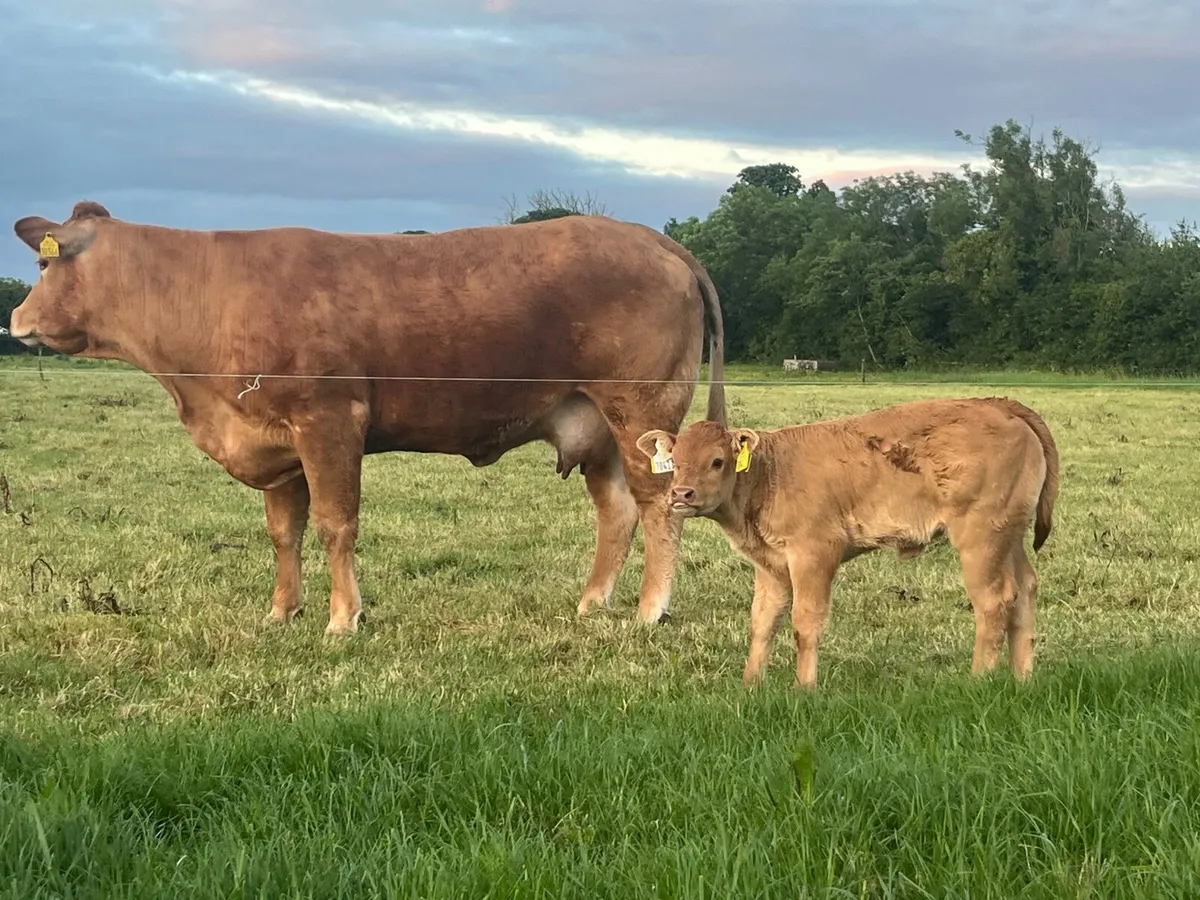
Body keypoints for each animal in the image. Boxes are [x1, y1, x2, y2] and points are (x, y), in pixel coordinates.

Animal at [10, 201, 726, 635]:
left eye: (44, 262)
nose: (15, 320)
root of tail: (651, 238)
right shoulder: (277, 445)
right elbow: (284, 533)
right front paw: (281, 613)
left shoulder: (329, 421)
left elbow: (334, 525)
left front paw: (341, 620)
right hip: (595, 425)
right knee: (619, 510)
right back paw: (592, 602)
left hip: (641, 412)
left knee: (660, 507)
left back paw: (649, 611)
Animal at [636, 397, 1059, 689]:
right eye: (674, 460)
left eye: (718, 461)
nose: (681, 494)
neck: (768, 473)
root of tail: (998, 403)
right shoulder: (771, 566)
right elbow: (763, 622)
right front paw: (750, 686)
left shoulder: (814, 554)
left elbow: (805, 623)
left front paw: (804, 689)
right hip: (1009, 537)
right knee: (1025, 590)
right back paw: (1022, 679)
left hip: (981, 539)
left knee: (994, 601)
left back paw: (978, 680)